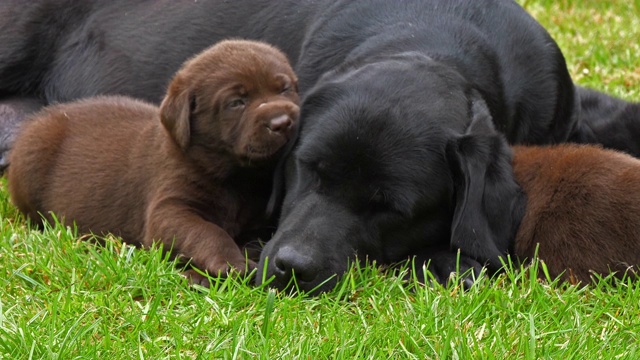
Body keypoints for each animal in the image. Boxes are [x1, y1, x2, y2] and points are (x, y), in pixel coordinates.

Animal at [5, 39, 300, 286]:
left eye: (284, 89)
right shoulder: (169, 209)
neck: (235, 177)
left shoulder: (257, 222)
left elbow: (254, 242)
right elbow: (208, 232)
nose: (282, 122)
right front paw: (229, 264)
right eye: (237, 102)